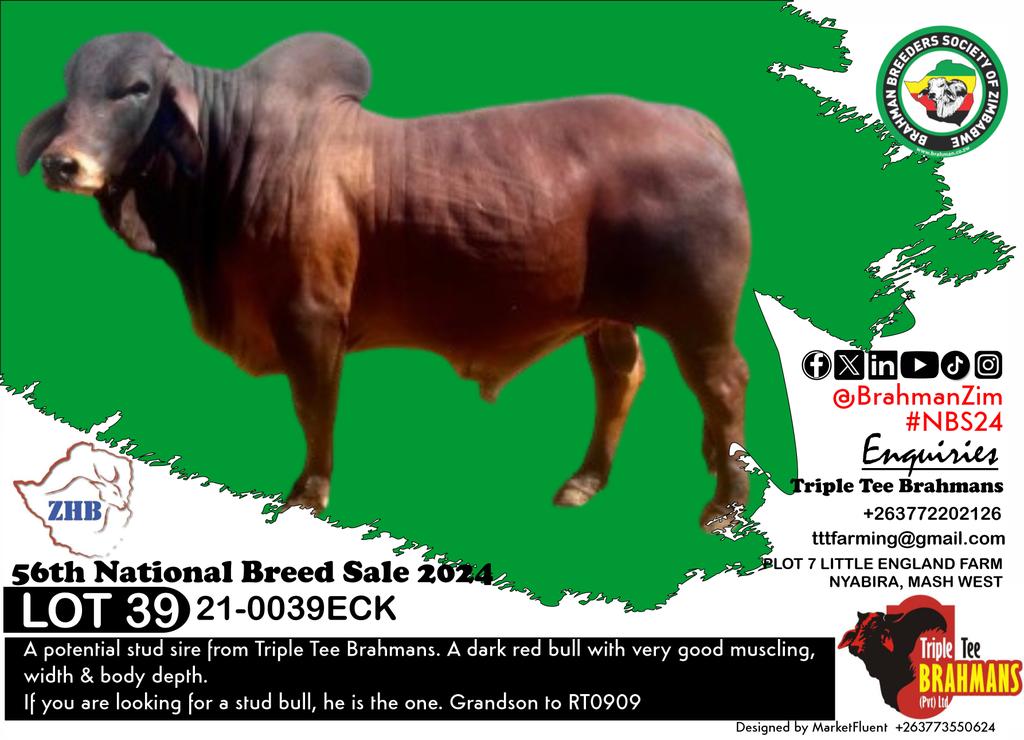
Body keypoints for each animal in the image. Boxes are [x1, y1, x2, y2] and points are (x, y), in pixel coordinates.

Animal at [16, 33, 752, 531]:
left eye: (137, 89)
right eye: (72, 87)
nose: (61, 163)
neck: (230, 160)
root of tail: (699, 125)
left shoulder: (310, 319)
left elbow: (314, 407)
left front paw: (308, 494)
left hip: (700, 319)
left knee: (722, 386)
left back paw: (725, 502)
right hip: (608, 315)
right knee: (621, 377)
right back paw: (588, 480)